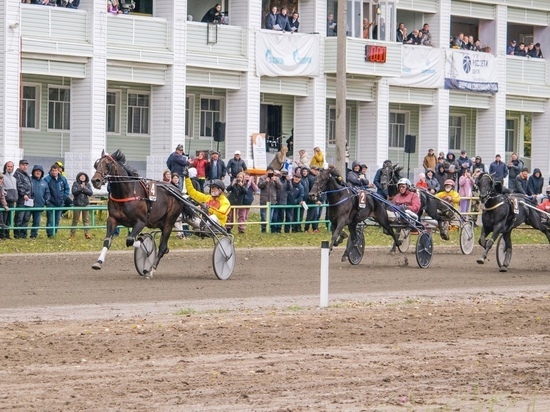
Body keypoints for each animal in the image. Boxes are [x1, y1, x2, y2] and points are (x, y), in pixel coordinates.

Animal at [92, 150, 198, 278]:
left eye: (108, 164)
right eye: (96, 164)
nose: (95, 181)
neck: (126, 193)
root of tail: (177, 191)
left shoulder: (141, 222)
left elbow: (130, 240)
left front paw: (143, 244)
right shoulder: (112, 219)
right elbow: (107, 241)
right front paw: (98, 262)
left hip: (169, 221)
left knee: (162, 247)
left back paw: (151, 270)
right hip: (159, 222)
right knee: (164, 246)